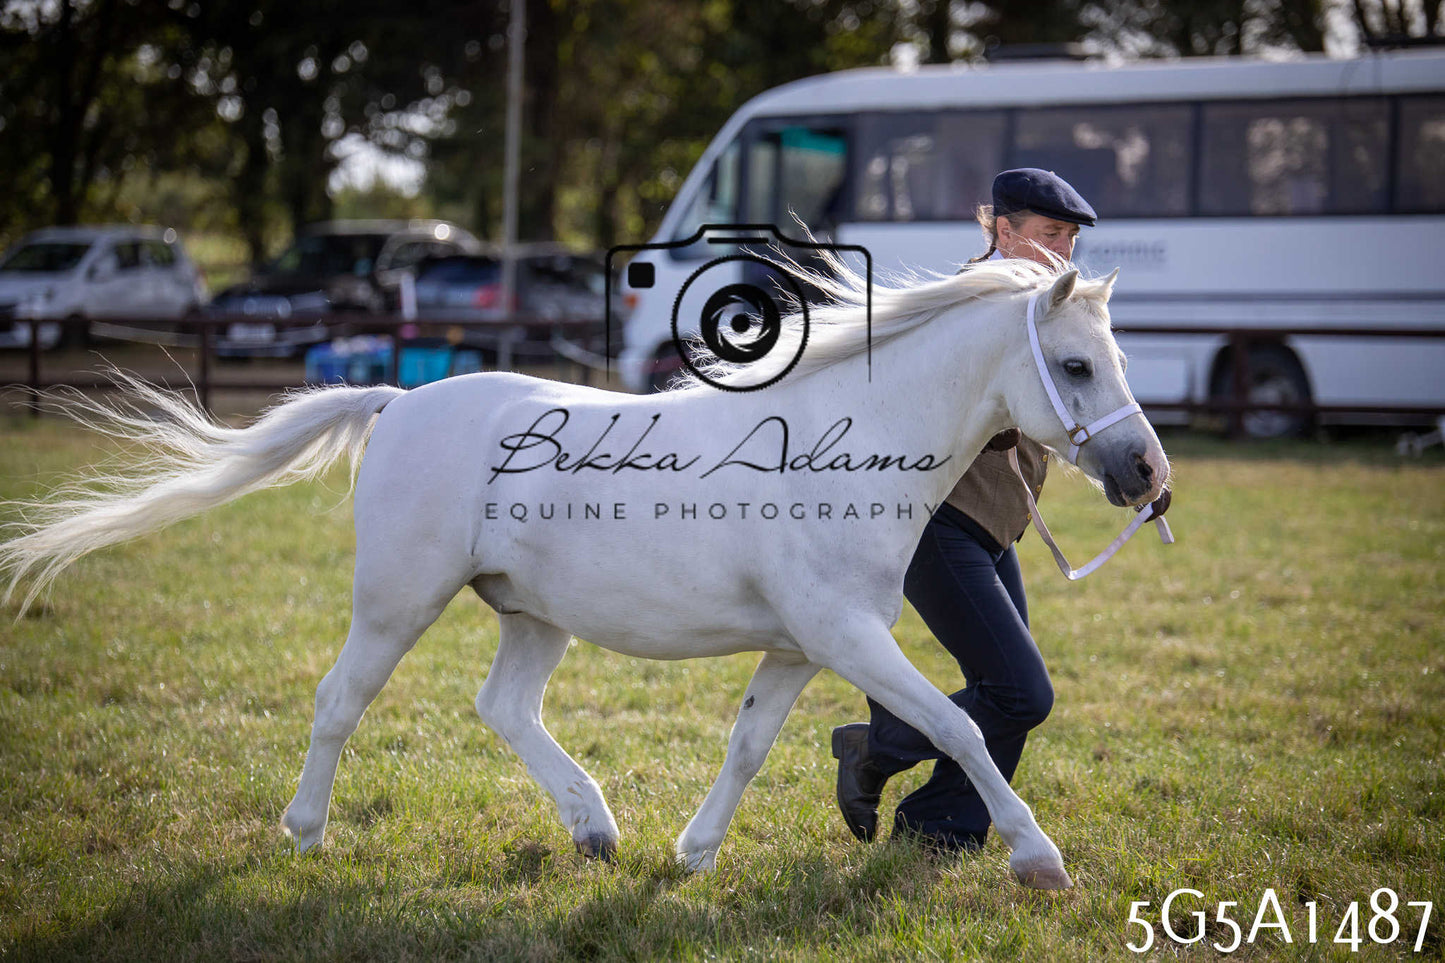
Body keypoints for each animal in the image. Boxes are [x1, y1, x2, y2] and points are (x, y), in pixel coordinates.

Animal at [0, 257, 1169, 890]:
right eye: (1074, 364)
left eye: (1116, 358)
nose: (1146, 474)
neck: (848, 446)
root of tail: (397, 397)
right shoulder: (847, 637)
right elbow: (960, 724)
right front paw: (1037, 859)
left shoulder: (800, 647)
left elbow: (748, 745)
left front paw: (691, 855)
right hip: (396, 602)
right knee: (339, 702)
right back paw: (305, 835)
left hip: (533, 615)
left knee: (502, 706)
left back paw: (596, 829)